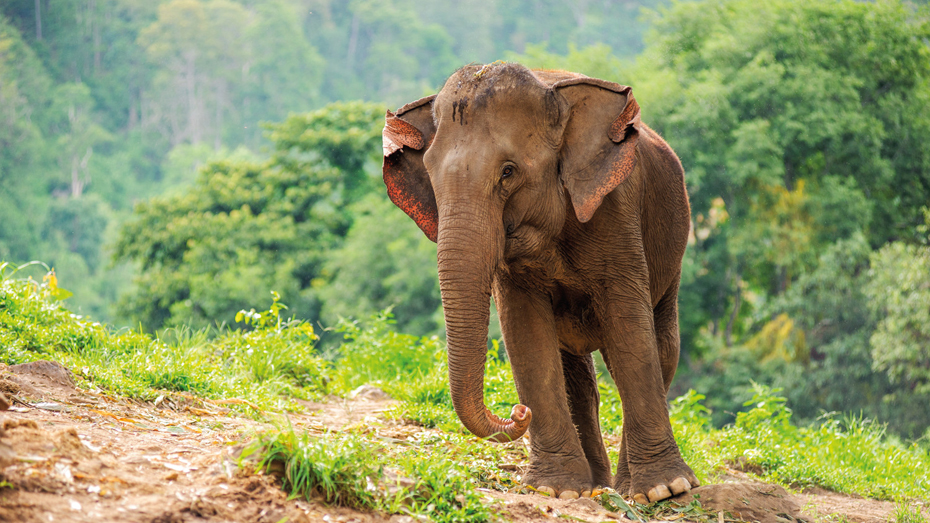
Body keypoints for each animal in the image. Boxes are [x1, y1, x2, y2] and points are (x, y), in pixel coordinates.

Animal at [378, 63, 696, 506]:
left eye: (508, 171)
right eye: (430, 175)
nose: (518, 412)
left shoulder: (617, 209)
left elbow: (629, 330)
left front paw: (666, 490)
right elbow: (526, 332)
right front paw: (554, 489)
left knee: (660, 346)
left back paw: (627, 488)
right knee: (578, 377)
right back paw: (595, 486)